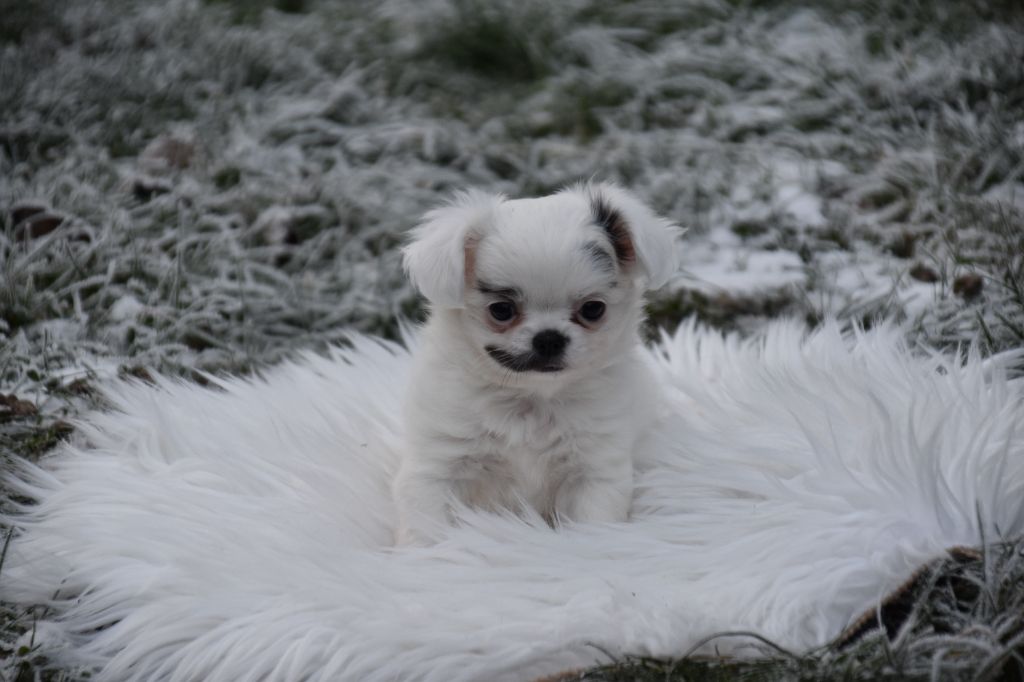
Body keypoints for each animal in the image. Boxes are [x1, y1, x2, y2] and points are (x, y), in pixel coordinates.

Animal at [393, 180, 679, 540]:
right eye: (501, 310)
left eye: (593, 309)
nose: (549, 337)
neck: (530, 399)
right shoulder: (437, 466)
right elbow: (427, 526)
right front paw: (427, 554)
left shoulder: (595, 472)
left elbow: (594, 523)